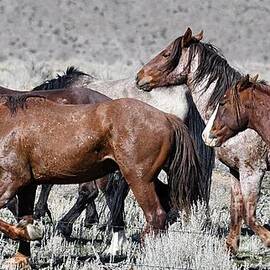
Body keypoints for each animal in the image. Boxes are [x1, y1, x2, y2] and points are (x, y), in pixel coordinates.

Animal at [0, 94, 202, 266]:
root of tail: (166, 117)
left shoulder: (13, 181)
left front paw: (31, 234)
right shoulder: (27, 186)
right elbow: (24, 216)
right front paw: (21, 258)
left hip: (139, 179)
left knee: (156, 216)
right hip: (145, 178)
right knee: (167, 205)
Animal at [202, 74, 270, 249]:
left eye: (222, 102)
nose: (205, 135)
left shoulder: (253, 173)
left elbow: (248, 214)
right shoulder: (236, 171)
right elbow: (238, 208)